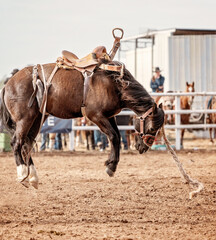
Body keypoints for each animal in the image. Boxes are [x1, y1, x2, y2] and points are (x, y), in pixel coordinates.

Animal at [0, 63, 165, 188]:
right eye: (152, 128)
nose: (143, 147)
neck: (114, 83)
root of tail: (7, 84)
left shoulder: (109, 116)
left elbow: (117, 136)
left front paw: (111, 164)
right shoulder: (95, 115)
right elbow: (113, 136)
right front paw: (111, 166)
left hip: (37, 118)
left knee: (26, 145)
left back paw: (33, 177)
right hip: (25, 119)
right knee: (17, 143)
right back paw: (22, 173)